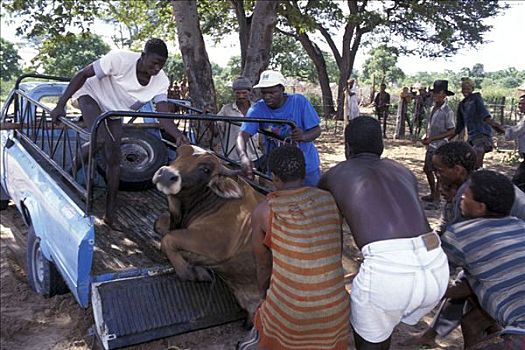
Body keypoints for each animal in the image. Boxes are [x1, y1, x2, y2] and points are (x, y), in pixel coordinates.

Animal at [154, 144, 264, 318]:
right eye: (178, 154)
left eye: (205, 169)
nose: (165, 175)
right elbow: (159, 224)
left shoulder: (215, 243)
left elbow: (168, 239)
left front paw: (189, 271)